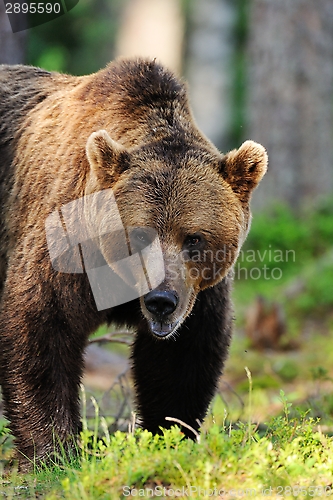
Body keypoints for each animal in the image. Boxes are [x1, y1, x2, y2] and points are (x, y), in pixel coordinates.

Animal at [0, 57, 268, 468]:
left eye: (194, 238)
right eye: (139, 235)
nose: (161, 300)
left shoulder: (197, 292)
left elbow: (181, 358)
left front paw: (168, 435)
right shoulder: (64, 249)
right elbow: (41, 326)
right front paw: (53, 451)